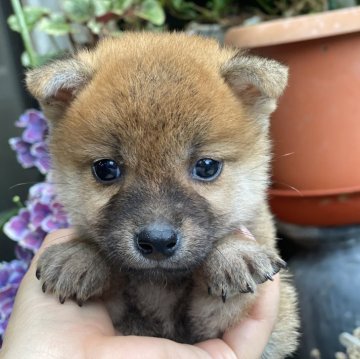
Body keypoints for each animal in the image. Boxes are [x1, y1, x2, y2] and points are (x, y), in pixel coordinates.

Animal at [26, 33, 300, 358]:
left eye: (206, 167)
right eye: (106, 169)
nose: (157, 242)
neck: (160, 285)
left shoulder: (220, 326)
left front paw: (233, 254)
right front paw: (80, 255)